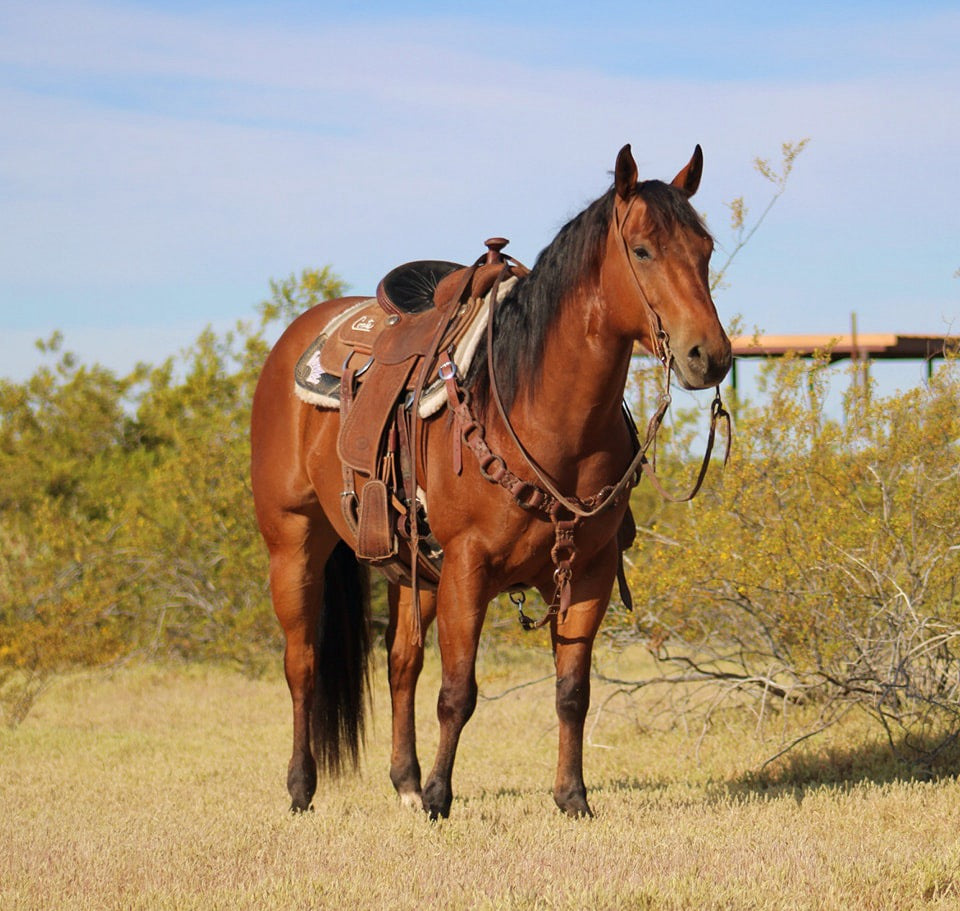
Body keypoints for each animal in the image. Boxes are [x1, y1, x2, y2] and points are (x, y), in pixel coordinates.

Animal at [251, 144, 732, 820]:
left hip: (412, 569)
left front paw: (572, 798)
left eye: (705, 249)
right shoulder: (468, 566)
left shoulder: (588, 572)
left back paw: (403, 780)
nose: (708, 356)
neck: (543, 416)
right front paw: (439, 799)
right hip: (293, 543)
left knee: (401, 662)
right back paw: (302, 788)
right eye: (641, 250)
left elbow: (572, 691)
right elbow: (458, 692)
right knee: (303, 664)